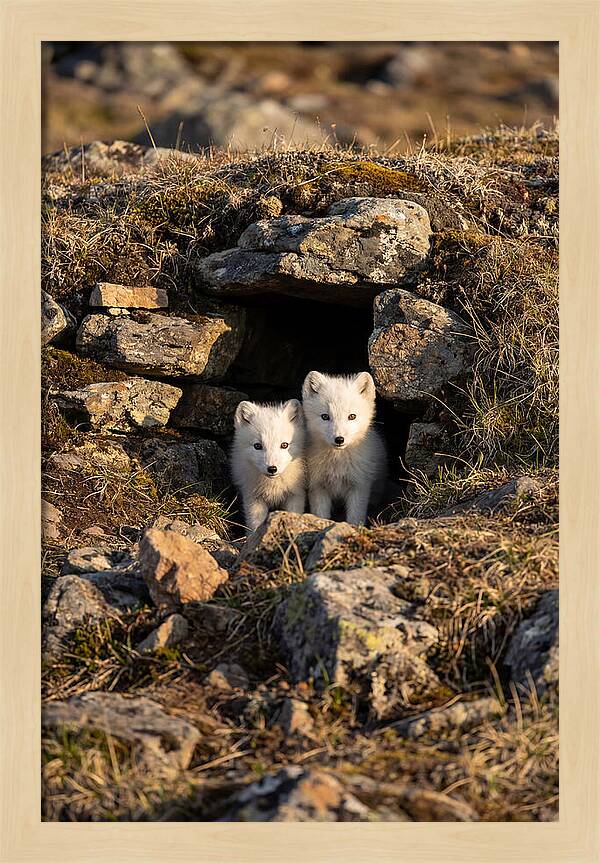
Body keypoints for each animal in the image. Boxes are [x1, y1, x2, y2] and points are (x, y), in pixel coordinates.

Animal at [232, 399, 306, 531]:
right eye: (257, 446)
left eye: (284, 445)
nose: (272, 468)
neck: (273, 485)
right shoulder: (253, 498)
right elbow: (254, 525)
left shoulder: (296, 494)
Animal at [301, 371, 387, 525]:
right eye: (325, 416)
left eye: (352, 416)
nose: (339, 439)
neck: (337, 463)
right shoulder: (317, 486)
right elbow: (321, 514)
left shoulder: (359, 486)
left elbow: (355, 517)